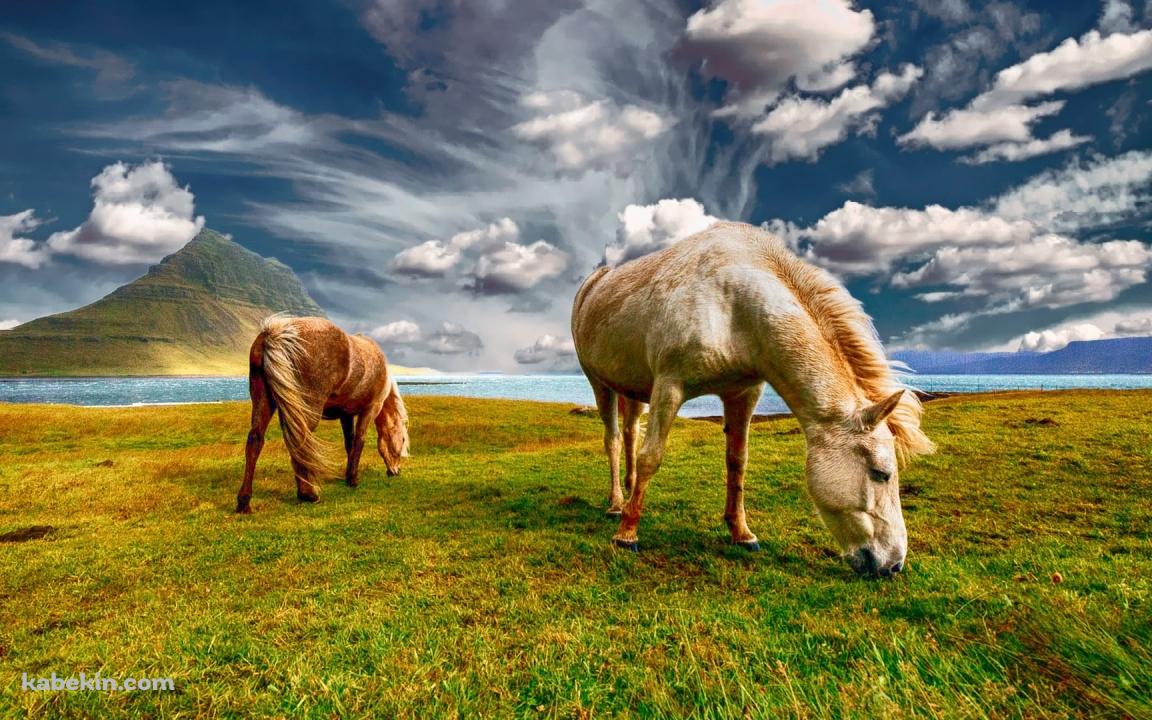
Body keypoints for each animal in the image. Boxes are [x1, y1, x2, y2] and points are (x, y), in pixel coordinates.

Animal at [235, 316, 410, 513]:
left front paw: (348, 476)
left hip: (264, 401)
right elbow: (359, 441)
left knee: (256, 440)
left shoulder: (346, 415)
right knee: (300, 441)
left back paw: (244, 502)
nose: (396, 471)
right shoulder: (370, 409)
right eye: (402, 439)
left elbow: (349, 443)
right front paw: (353, 479)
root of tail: (276, 333)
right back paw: (308, 494)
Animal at [571, 221, 934, 577]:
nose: (894, 565)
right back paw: (617, 505)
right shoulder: (669, 387)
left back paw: (629, 493)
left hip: (633, 389)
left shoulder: (743, 394)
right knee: (615, 440)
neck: (734, 304)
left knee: (631, 433)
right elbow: (652, 457)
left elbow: (737, 462)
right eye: (881, 473)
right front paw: (627, 534)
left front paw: (741, 532)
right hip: (600, 384)